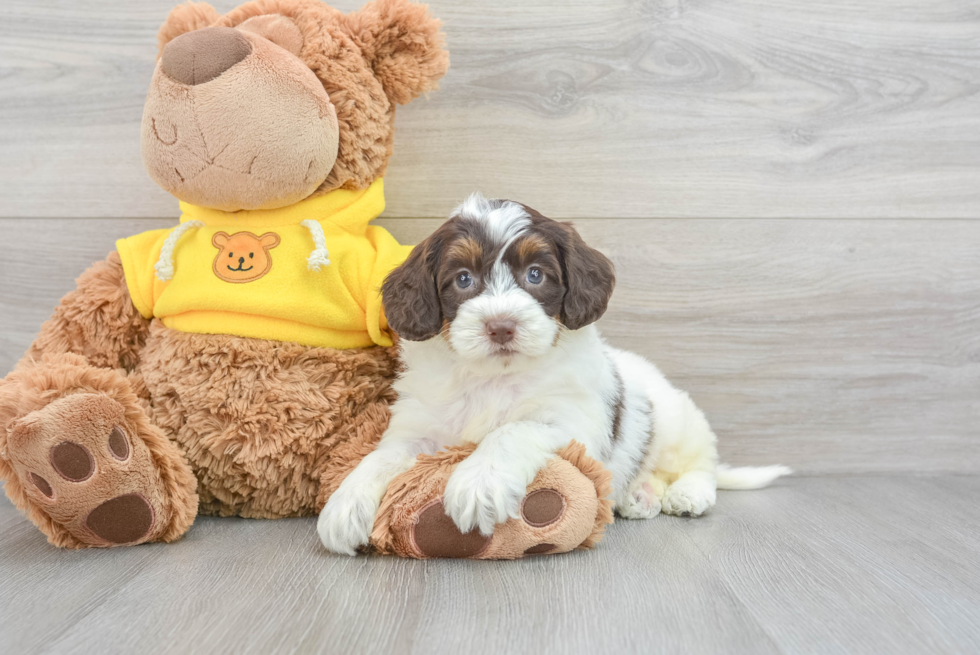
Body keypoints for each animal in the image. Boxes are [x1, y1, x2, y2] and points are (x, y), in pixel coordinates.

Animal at [318, 193, 792, 552]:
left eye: (535, 274)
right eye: (463, 279)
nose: (501, 326)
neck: (493, 376)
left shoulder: (572, 421)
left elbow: (511, 430)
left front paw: (478, 481)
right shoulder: (418, 428)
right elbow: (381, 457)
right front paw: (345, 503)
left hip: (678, 425)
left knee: (702, 463)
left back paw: (688, 493)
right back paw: (640, 495)